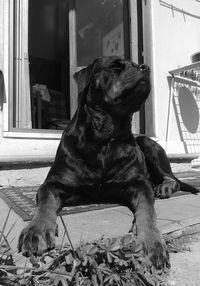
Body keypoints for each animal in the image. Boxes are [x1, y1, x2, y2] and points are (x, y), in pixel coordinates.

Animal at [18, 56, 198, 270]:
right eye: (115, 65)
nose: (145, 67)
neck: (106, 137)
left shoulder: (139, 184)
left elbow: (147, 210)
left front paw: (151, 242)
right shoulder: (53, 183)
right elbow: (45, 202)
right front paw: (36, 229)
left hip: (148, 144)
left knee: (172, 178)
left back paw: (165, 187)